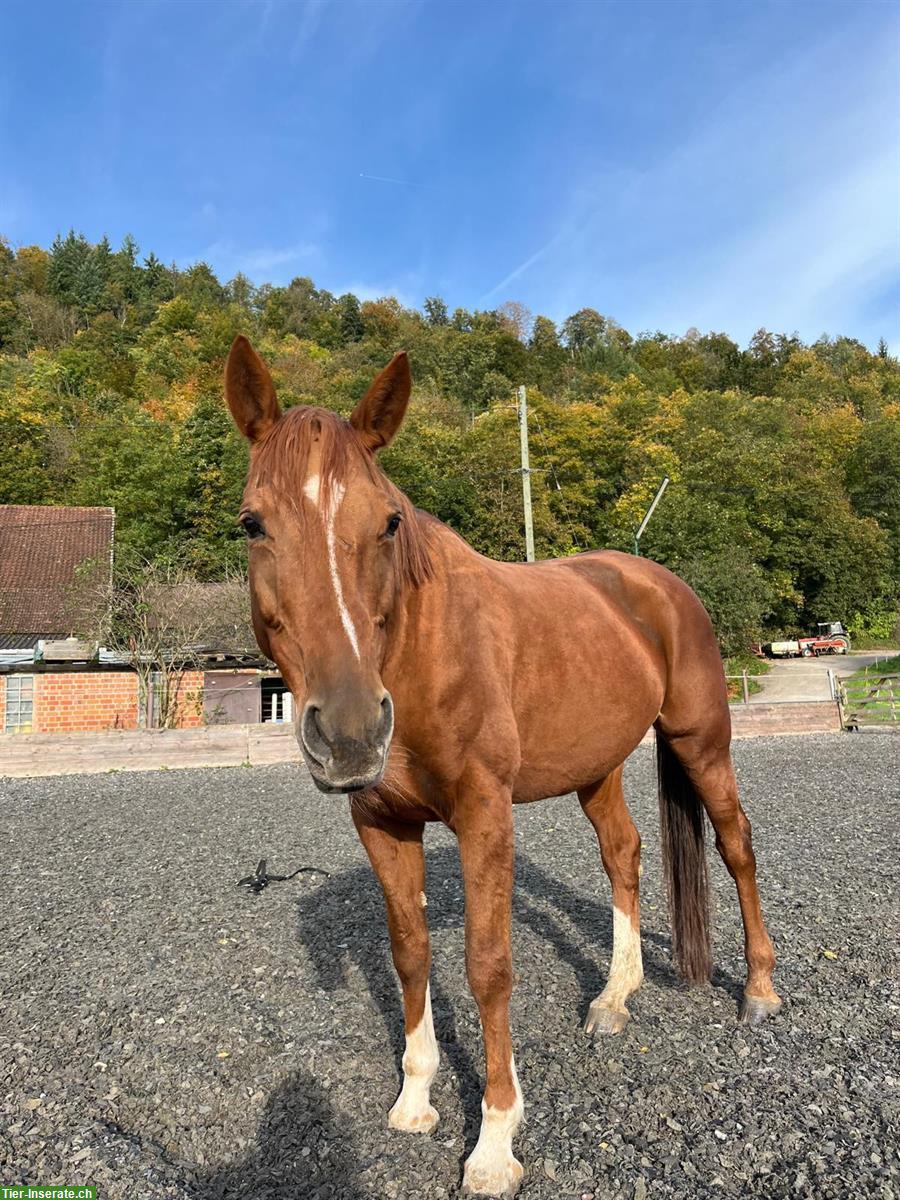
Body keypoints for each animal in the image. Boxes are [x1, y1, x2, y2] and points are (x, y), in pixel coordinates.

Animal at [224, 340, 782, 1200]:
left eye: (388, 522)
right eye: (253, 524)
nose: (350, 732)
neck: (419, 653)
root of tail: (658, 583)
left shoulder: (485, 815)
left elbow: (487, 967)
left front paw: (493, 1142)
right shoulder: (381, 823)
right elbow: (410, 953)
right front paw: (415, 1098)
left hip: (702, 741)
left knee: (736, 844)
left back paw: (758, 992)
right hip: (598, 766)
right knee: (623, 853)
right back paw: (614, 997)